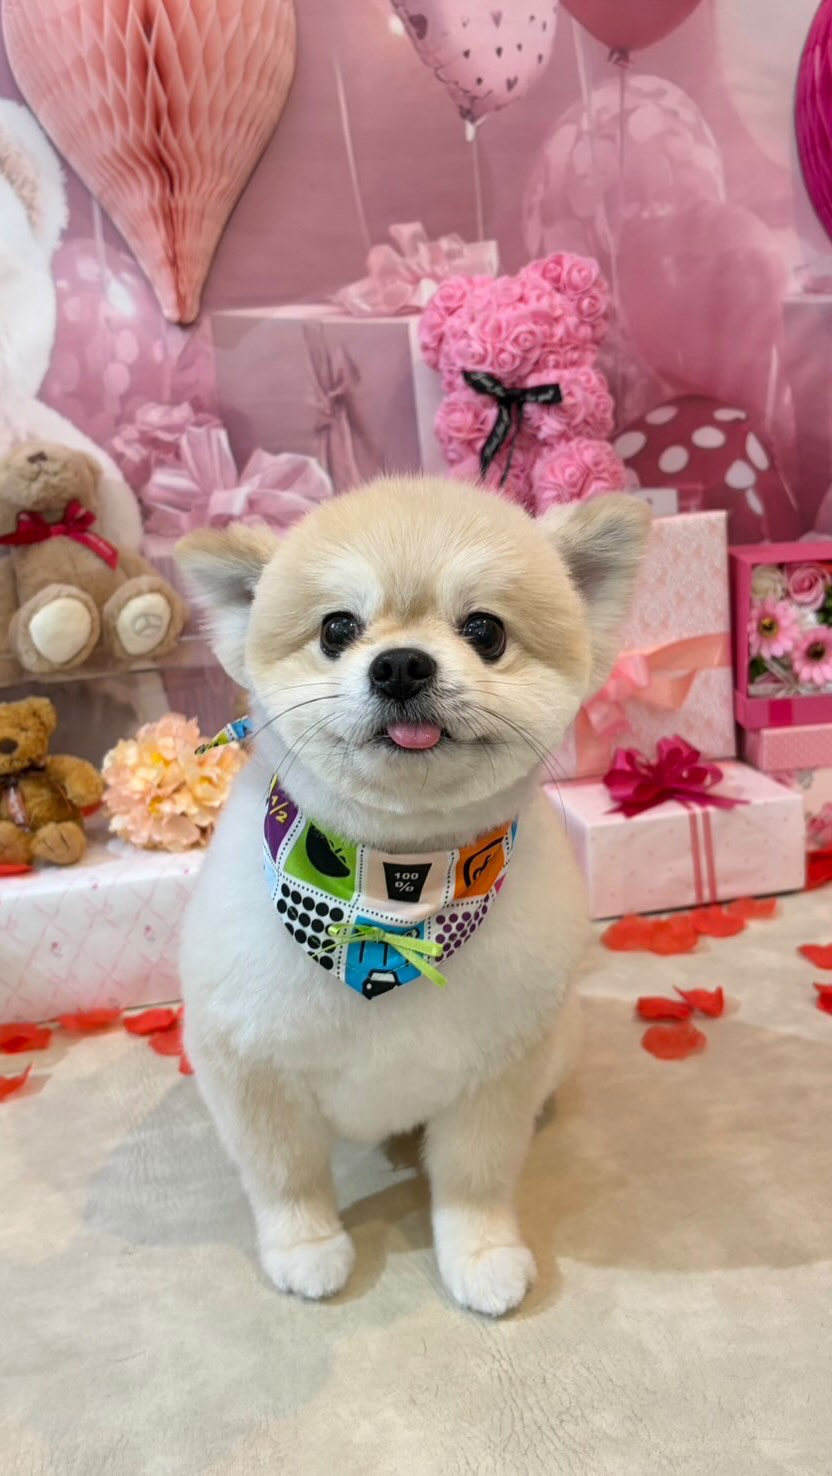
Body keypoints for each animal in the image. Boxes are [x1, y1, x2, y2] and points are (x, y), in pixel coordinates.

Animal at [176, 477, 649, 1316]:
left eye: (486, 631)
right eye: (337, 628)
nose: (399, 665)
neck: (392, 898)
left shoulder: (497, 1072)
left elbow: (475, 1177)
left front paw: (481, 1255)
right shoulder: (248, 1064)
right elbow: (284, 1172)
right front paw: (305, 1247)